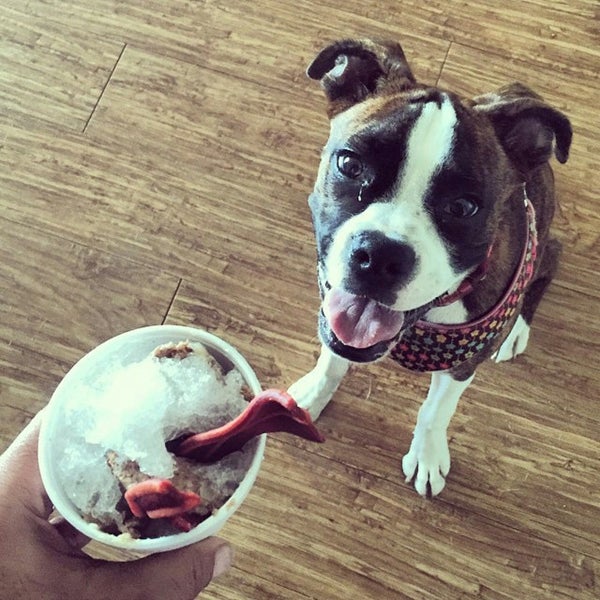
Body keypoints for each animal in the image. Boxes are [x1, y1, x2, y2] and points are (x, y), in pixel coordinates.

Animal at [288, 39, 576, 494]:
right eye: (349, 165)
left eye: (463, 208)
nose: (380, 256)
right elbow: (332, 359)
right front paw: (312, 396)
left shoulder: (462, 366)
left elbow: (436, 410)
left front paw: (426, 454)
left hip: (547, 248)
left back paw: (517, 330)